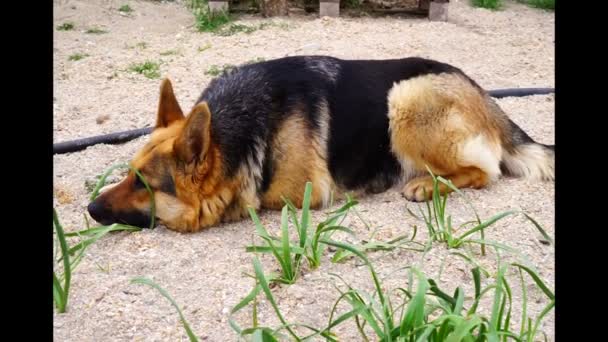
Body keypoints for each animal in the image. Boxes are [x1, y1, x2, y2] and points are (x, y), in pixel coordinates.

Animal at [86, 56, 556, 232]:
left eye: (144, 185)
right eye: (127, 174)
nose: (89, 208)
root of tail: (486, 98)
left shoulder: (300, 196)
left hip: (402, 98)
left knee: (485, 171)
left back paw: (425, 184)